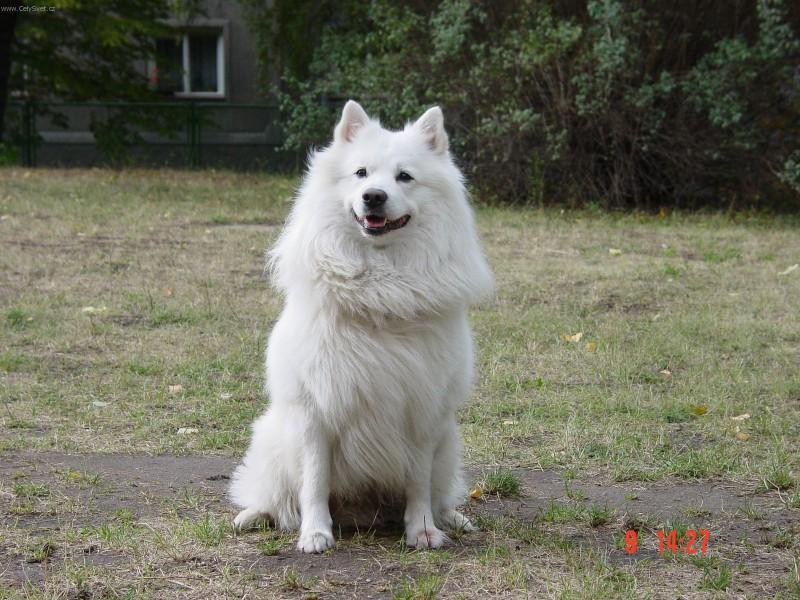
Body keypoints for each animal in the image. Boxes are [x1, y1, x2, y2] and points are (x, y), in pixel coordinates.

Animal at [230, 99, 494, 552]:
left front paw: (422, 530)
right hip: (273, 440)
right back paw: (253, 516)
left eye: (404, 176)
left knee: (438, 492)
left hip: (448, 445)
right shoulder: (316, 412)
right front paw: (315, 533)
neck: (379, 289)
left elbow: (418, 483)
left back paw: (452, 518)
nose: (374, 196)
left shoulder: (422, 414)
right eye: (361, 173)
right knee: (274, 498)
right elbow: (314, 483)